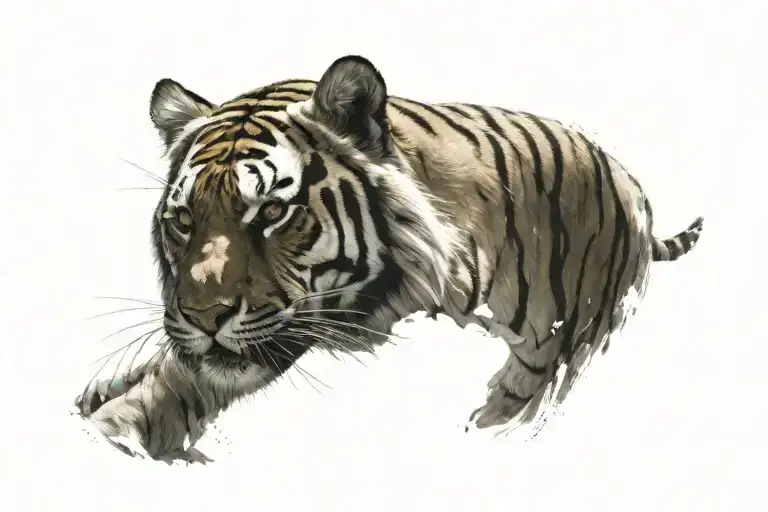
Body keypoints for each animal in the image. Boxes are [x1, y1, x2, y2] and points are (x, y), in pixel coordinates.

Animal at [73, 55, 704, 463]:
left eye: (272, 211)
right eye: (184, 220)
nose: (205, 318)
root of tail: (629, 182)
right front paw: (106, 398)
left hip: (560, 343)